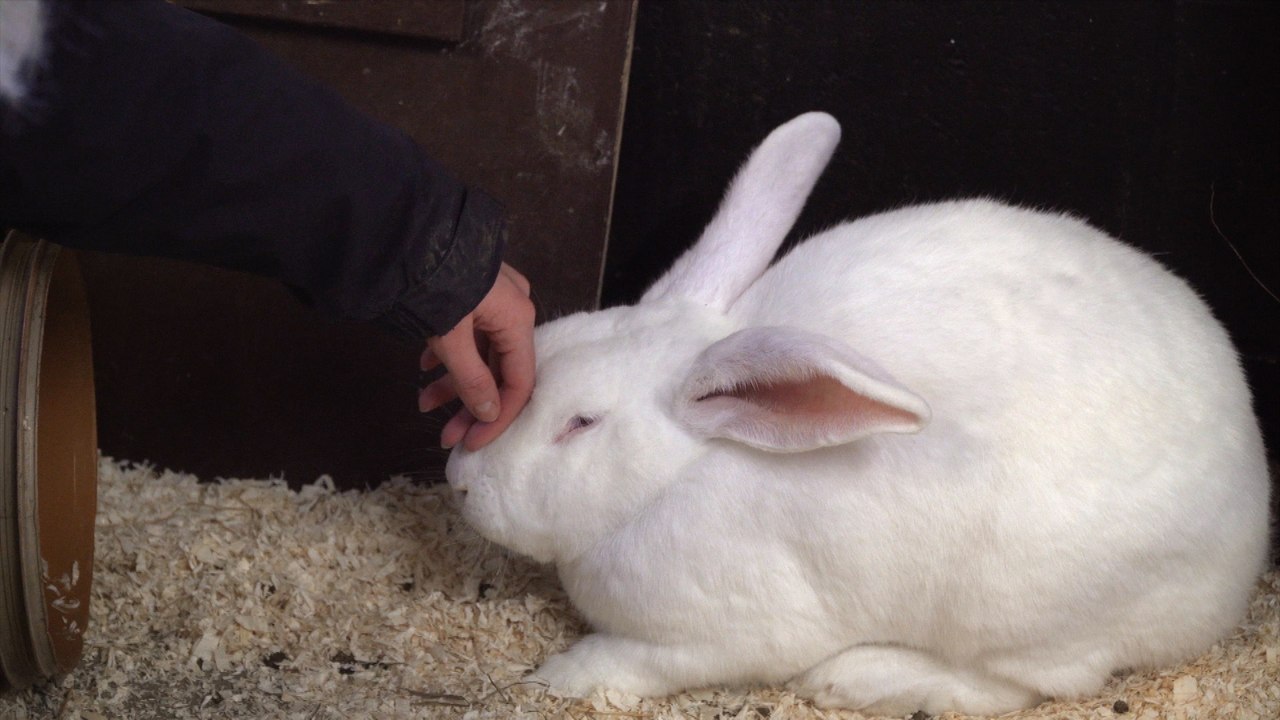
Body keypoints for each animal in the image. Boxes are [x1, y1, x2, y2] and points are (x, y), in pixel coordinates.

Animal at [444, 112, 1272, 715]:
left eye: (580, 425)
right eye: (544, 345)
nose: (459, 480)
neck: (673, 477)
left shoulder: (719, 633)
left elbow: (631, 659)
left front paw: (556, 679)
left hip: (1019, 610)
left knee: (1019, 687)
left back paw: (857, 679)